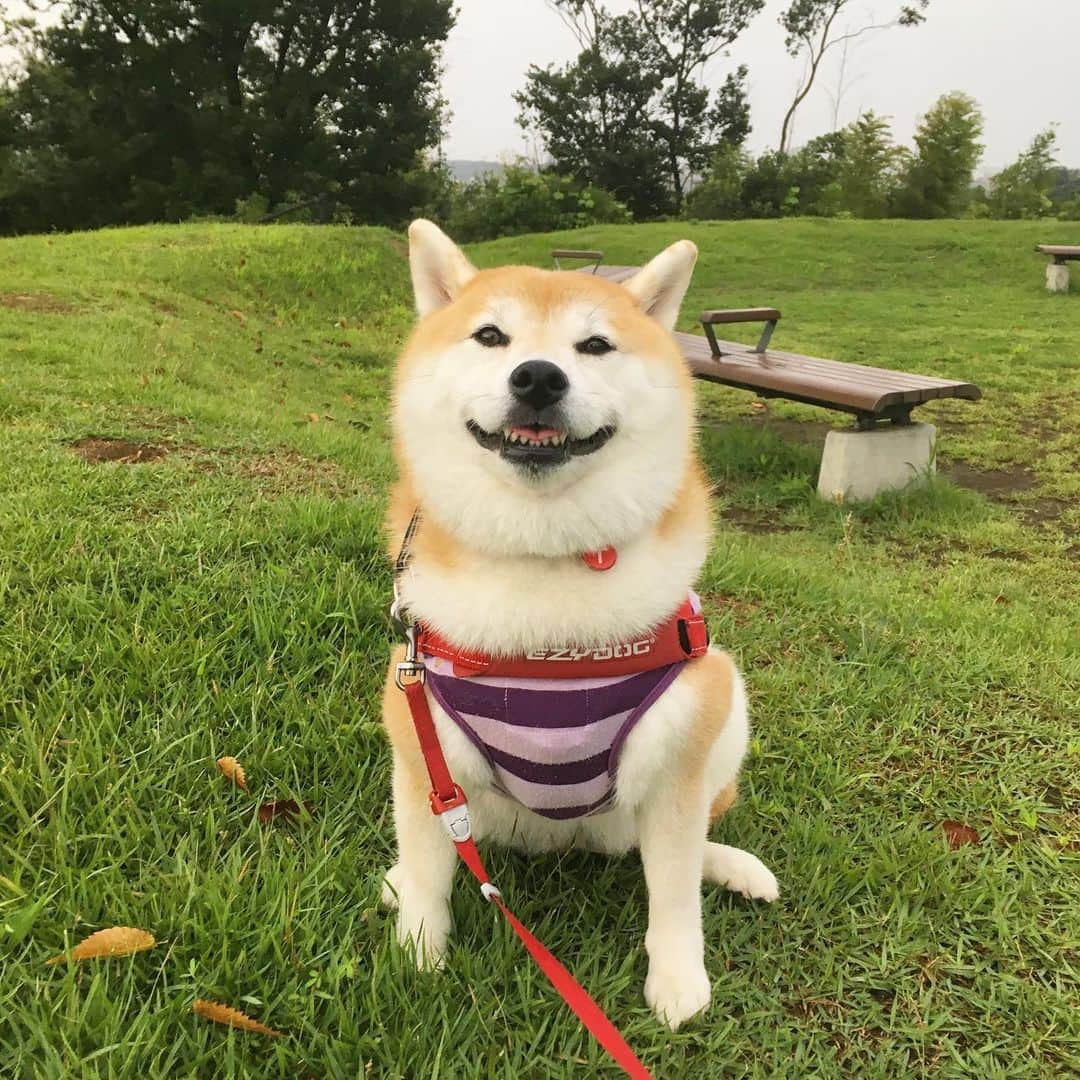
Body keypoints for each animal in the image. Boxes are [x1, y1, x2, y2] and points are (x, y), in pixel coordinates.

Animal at [380, 221, 777, 1028]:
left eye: (594, 345)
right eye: (491, 335)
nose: (538, 377)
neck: (545, 564)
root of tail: (559, 837)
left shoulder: (679, 760)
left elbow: (675, 895)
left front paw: (678, 980)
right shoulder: (419, 739)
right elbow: (435, 874)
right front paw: (418, 953)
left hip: (722, 691)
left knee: (676, 846)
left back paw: (730, 865)